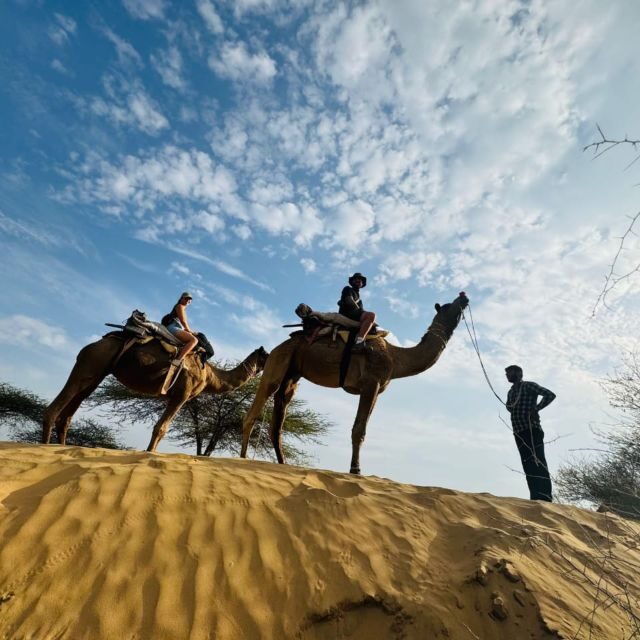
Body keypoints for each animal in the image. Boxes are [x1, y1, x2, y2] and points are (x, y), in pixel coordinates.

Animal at [43, 333, 269, 452]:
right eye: (267, 355)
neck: (210, 374)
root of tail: (93, 344)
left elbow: (160, 428)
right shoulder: (182, 395)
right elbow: (161, 428)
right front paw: (148, 454)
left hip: (97, 374)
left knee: (68, 415)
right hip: (90, 362)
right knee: (53, 409)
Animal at [240, 292, 469, 474]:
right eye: (448, 306)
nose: (464, 297)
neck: (395, 357)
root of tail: (278, 346)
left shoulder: (376, 389)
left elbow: (361, 428)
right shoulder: (370, 383)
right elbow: (359, 429)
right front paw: (356, 470)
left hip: (292, 374)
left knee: (278, 418)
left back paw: (283, 464)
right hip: (278, 361)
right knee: (255, 408)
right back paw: (242, 459)